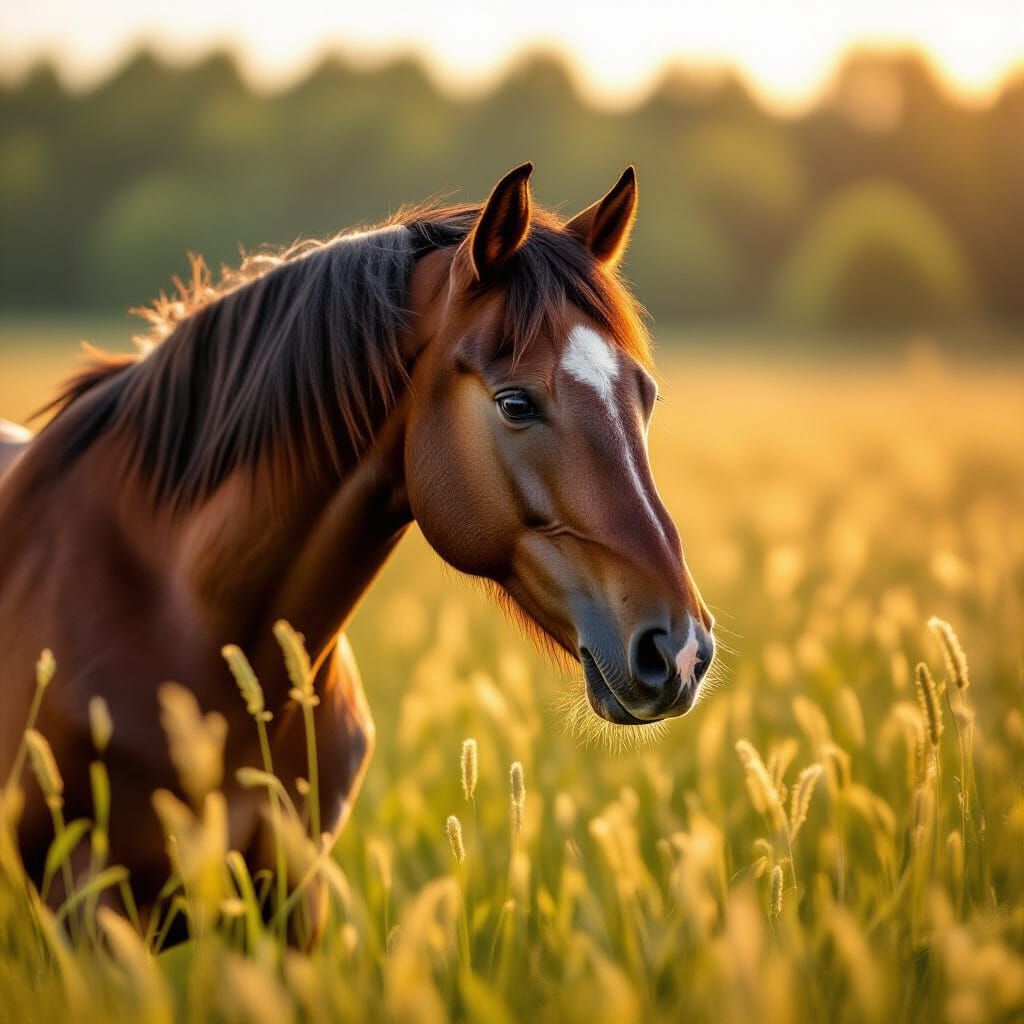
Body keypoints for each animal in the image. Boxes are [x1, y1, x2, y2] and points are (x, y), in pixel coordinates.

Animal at [0, 163, 715, 911]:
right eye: (516, 402)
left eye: (646, 397)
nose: (681, 649)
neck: (173, 615)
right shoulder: (82, 893)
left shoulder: (295, 889)